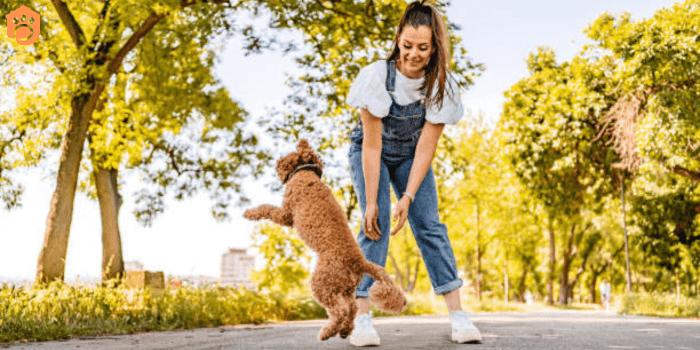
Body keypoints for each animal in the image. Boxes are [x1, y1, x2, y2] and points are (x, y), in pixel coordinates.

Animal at [243, 140, 408, 342]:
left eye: (285, 159)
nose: (277, 161)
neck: (304, 173)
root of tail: (359, 261)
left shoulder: (286, 214)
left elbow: (267, 208)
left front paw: (250, 212)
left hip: (321, 283)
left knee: (340, 310)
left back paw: (327, 332)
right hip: (346, 288)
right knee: (352, 308)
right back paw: (344, 331)